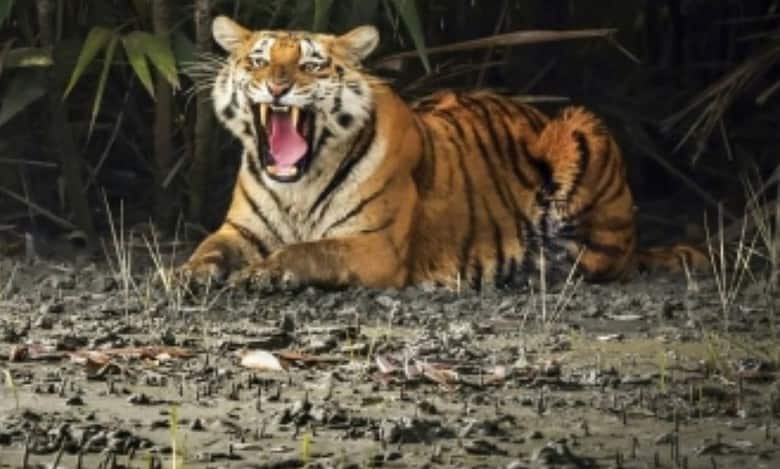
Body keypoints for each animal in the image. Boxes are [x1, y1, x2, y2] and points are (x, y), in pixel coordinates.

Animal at [179, 16, 707, 291]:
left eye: (311, 65)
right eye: (258, 61)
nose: (277, 86)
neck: (298, 186)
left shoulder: (375, 245)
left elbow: (309, 250)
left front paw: (263, 273)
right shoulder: (239, 230)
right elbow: (210, 247)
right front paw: (187, 272)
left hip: (582, 128)